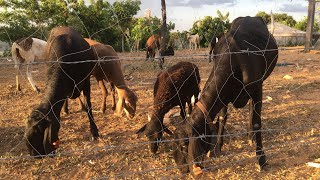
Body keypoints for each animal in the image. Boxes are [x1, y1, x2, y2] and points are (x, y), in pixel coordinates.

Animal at [171, 16, 278, 174]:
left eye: (184, 146)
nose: (183, 170)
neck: (235, 59)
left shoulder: (257, 89)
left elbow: (257, 122)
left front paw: (261, 159)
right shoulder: (224, 94)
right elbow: (222, 118)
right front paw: (217, 148)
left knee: (252, 111)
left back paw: (251, 135)